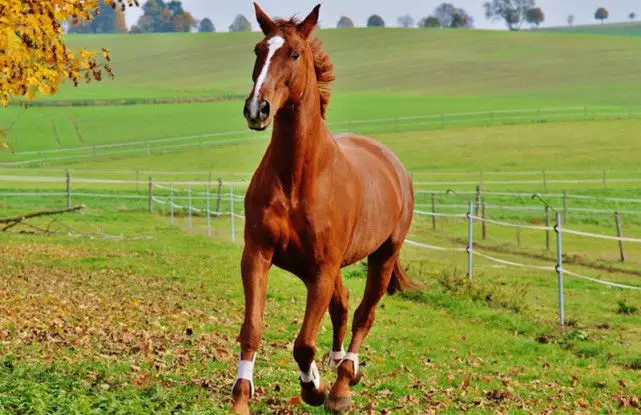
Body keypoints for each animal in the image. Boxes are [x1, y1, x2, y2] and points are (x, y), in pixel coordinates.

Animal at [230, 4, 416, 415]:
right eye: (258, 49)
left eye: (295, 53)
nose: (257, 109)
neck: (298, 179)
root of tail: (393, 165)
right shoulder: (259, 255)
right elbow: (252, 329)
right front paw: (240, 399)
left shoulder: (322, 268)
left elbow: (303, 343)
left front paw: (313, 388)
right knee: (343, 307)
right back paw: (337, 366)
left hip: (381, 256)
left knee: (363, 315)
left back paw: (343, 383)